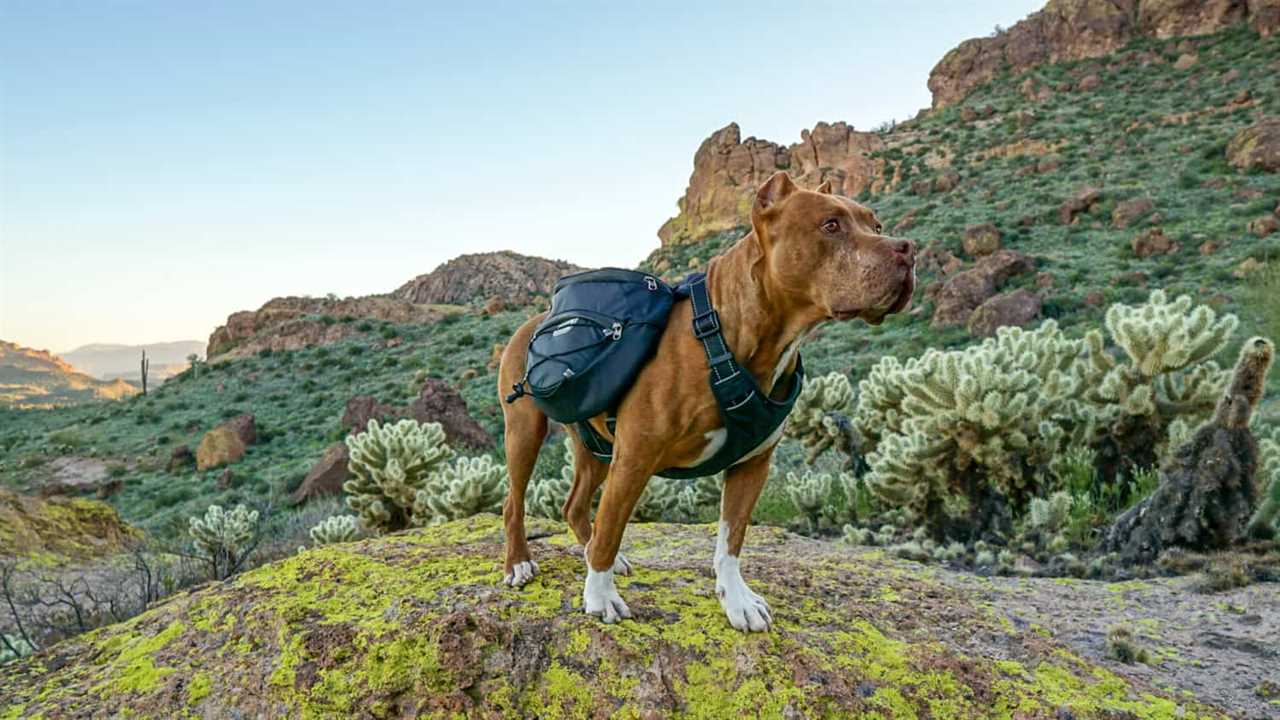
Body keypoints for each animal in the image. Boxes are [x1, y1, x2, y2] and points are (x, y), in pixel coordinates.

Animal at [494, 169, 916, 627]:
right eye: (831, 225)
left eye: (876, 225)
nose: (908, 250)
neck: (735, 336)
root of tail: (535, 321)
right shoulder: (635, 457)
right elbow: (611, 528)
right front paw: (600, 597)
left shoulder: (753, 464)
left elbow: (731, 540)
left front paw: (736, 600)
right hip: (526, 432)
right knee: (514, 504)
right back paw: (519, 563)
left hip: (596, 447)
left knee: (573, 505)